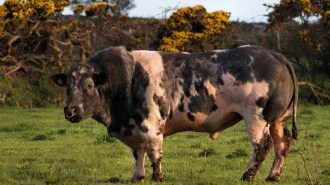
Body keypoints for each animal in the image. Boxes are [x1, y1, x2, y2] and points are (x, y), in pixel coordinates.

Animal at [52, 46, 300, 182]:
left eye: (88, 86)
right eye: (68, 86)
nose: (70, 110)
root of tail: (274, 55)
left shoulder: (151, 125)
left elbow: (154, 153)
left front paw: (157, 177)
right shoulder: (134, 127)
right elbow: (138, 153)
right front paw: (137, 177)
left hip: (257, 118)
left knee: (262, 146)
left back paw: (248, 175)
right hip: (277, 119)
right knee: (282, 144)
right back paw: (273, 176)